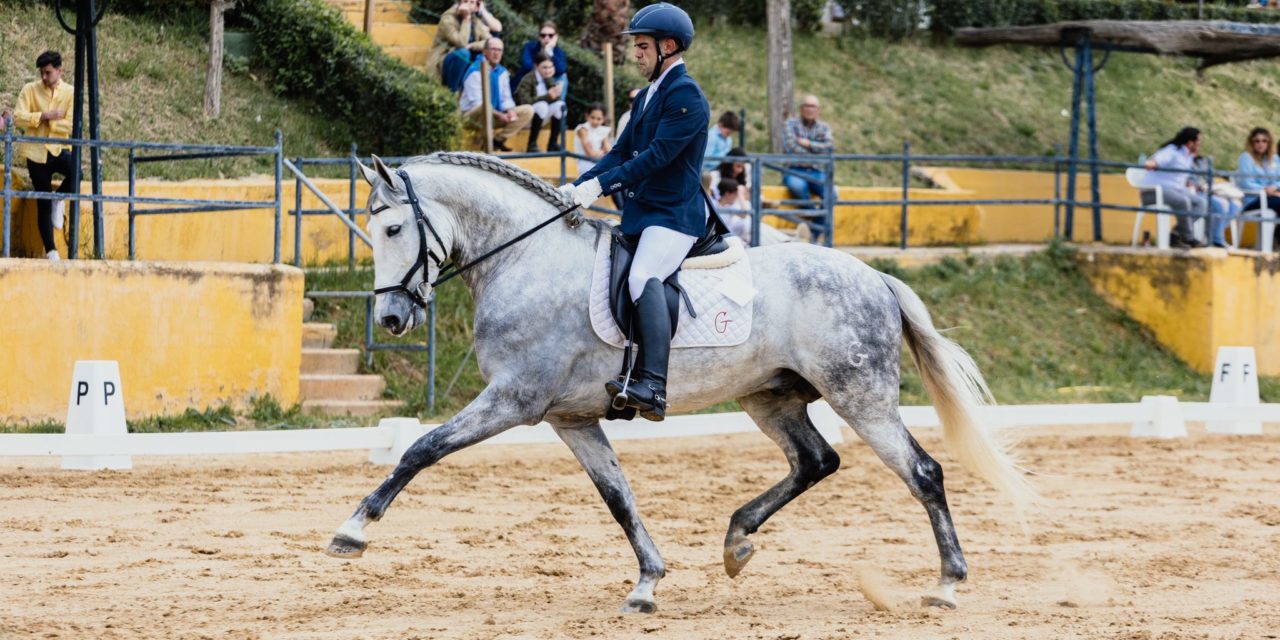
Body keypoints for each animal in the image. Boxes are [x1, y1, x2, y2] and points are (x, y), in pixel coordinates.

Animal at [325, 152, 1034, 611]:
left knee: (922, 472)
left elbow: (422, 448)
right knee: (815, 461)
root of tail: (876, 277)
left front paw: (353, 530)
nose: (391, 319)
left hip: (860, 394)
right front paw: (648, 582)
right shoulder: (570, 418)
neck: (525, 258)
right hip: (770, 397)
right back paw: (737, 542)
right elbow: (618, 497)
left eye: (393, 228)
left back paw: (946, 584)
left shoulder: (514, 400)